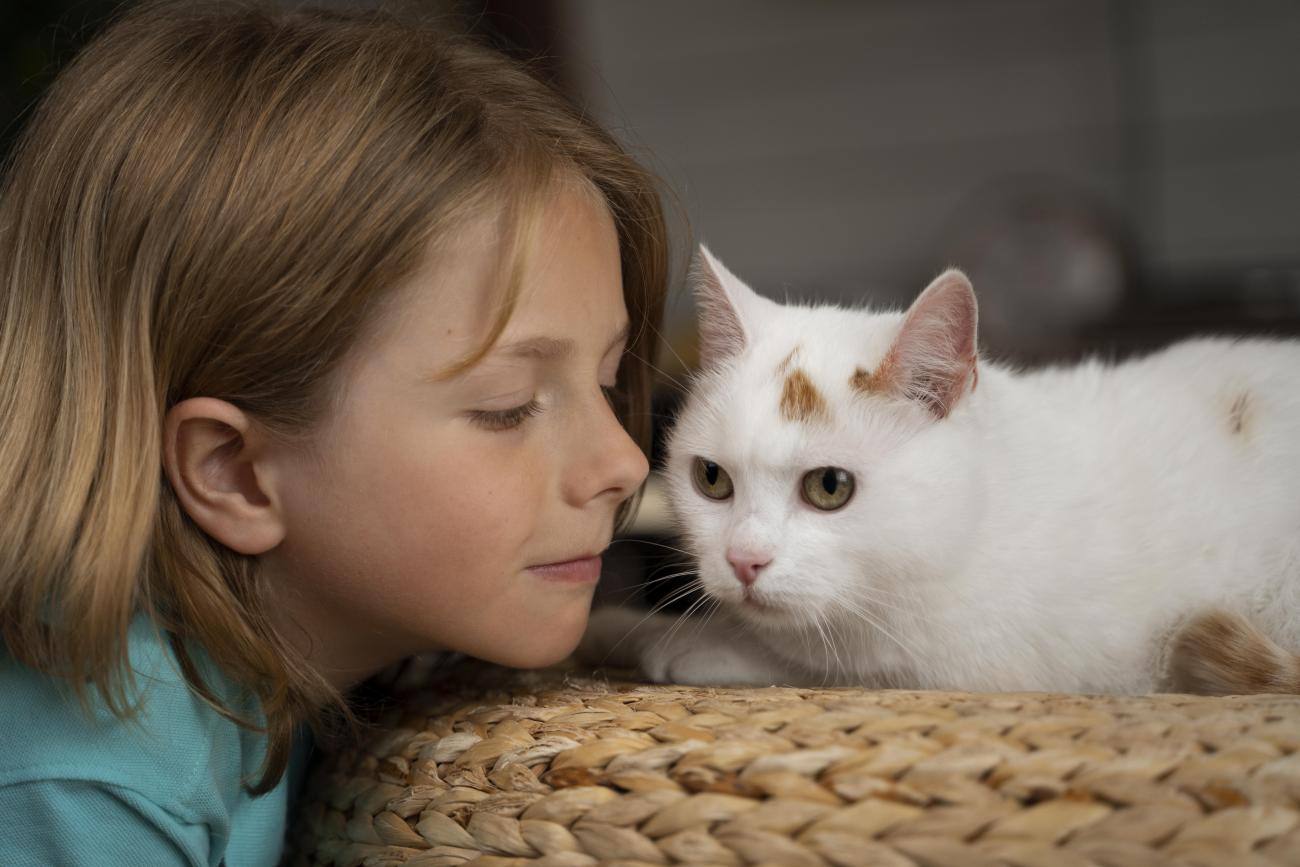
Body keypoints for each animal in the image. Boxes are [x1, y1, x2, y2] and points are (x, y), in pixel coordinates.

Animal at [585, 246, 1300, 696]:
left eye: (829, 487)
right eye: (711, 479)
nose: (742, 560)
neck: (979, 509)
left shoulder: (988, 661)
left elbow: (820, 660)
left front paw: (682, 640)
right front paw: (608, 625)